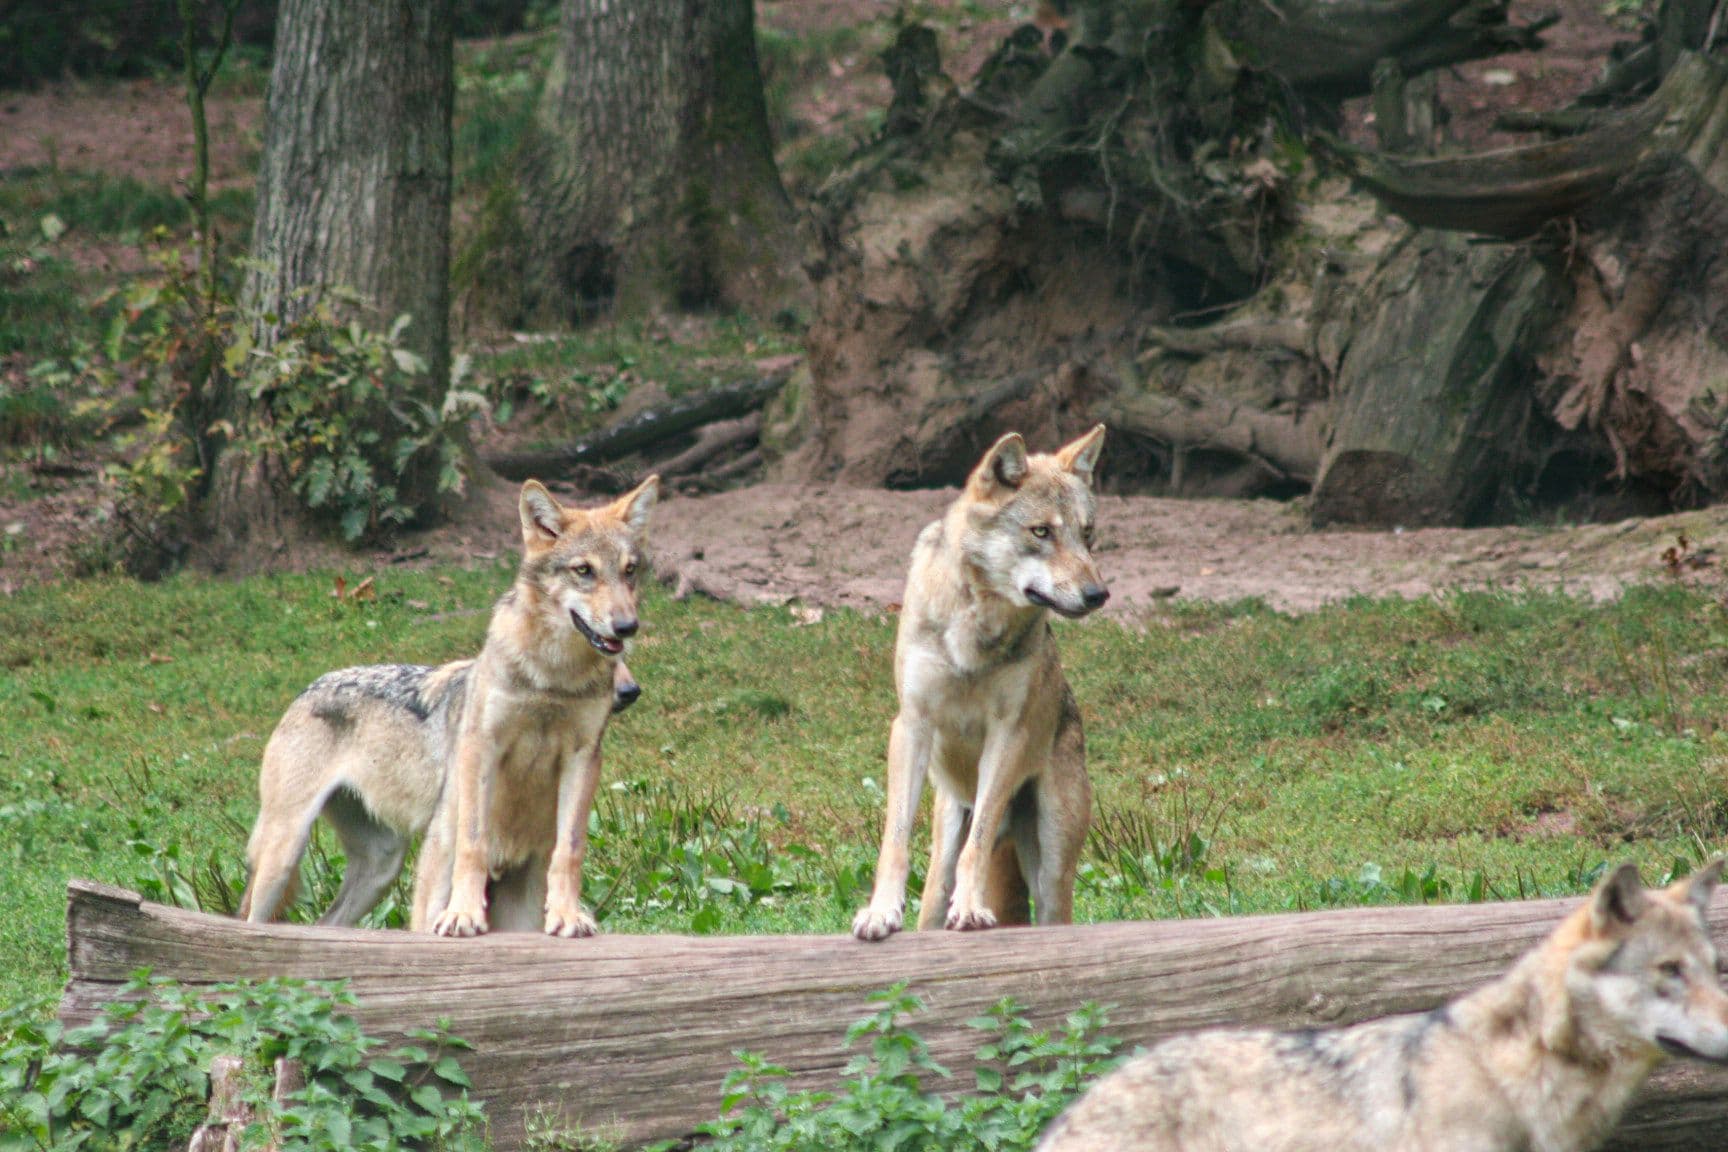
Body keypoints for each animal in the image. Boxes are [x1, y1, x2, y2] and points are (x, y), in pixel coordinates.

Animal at [239, 477, 657, 936]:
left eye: (629, 571)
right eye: (584, 571)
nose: (626, 627)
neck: (552, 682)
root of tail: (307, 688)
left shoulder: (584, 761)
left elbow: (571, 849)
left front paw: (568, 916)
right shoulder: (476, 762)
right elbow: (472, 845)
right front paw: (464, 916)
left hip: (383, 870)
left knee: (324, 925)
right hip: (285, 856)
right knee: (254, 920)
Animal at [852, 425, 1108, 941]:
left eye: (1087, 535)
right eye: (1041, 532)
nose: (1098, 594)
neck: (977, 624)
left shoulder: (1008, 734)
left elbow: (980, 840)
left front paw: (971, 910)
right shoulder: (911, 725)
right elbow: (894, 840)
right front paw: (879, 912)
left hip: (1052, 868)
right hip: (944, 844)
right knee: (935, 896)